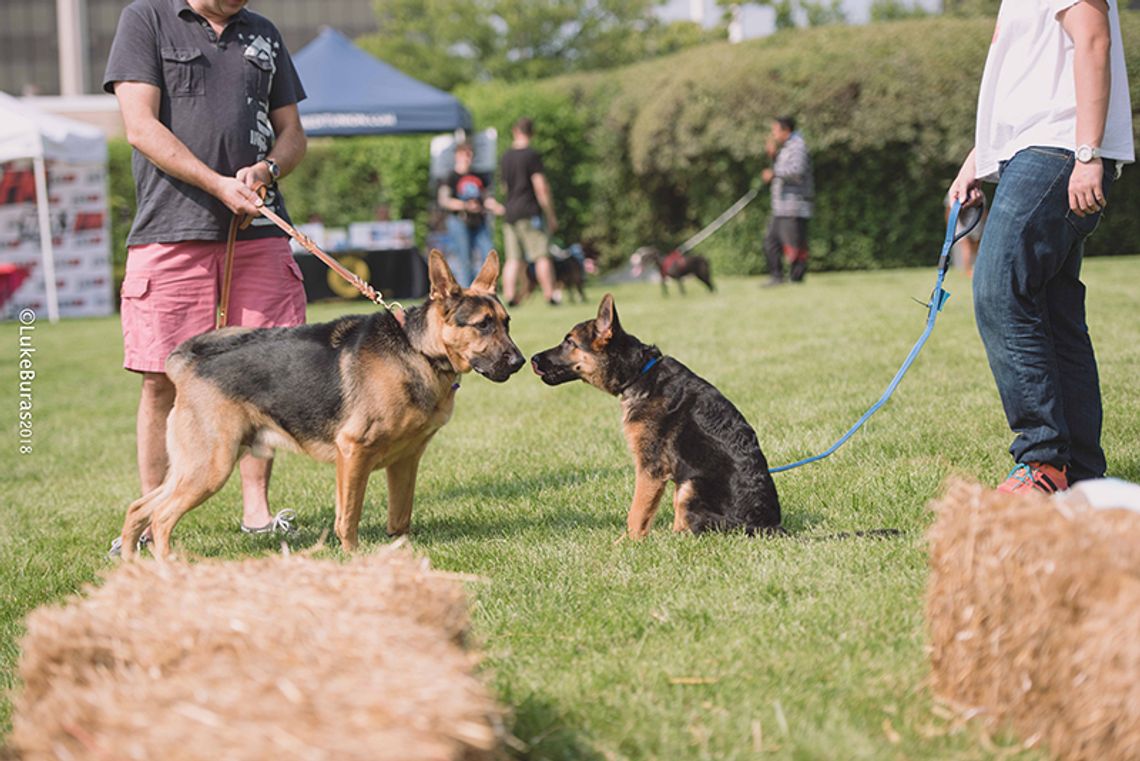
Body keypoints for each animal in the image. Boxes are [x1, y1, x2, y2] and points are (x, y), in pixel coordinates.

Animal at [117, 249, 522, 558]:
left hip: (193, 466)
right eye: (483, 325)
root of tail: (189, 365)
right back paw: (167, 566)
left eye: (507, 322)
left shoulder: (406, 460)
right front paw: (353, 557)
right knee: (162, 518)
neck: (418, 350)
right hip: (211, 467)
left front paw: (400, 554)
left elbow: (400, 517)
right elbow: (349, 515)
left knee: (139, 508)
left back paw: (131, 563)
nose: (519, 362)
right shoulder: (353, 452)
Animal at [528, 293, 779, 537]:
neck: (639, 373)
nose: (532, 359)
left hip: (691, 485)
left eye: (570, 342)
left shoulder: (650, 468)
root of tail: (768, 526)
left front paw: (627, 543)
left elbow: (637, 512)